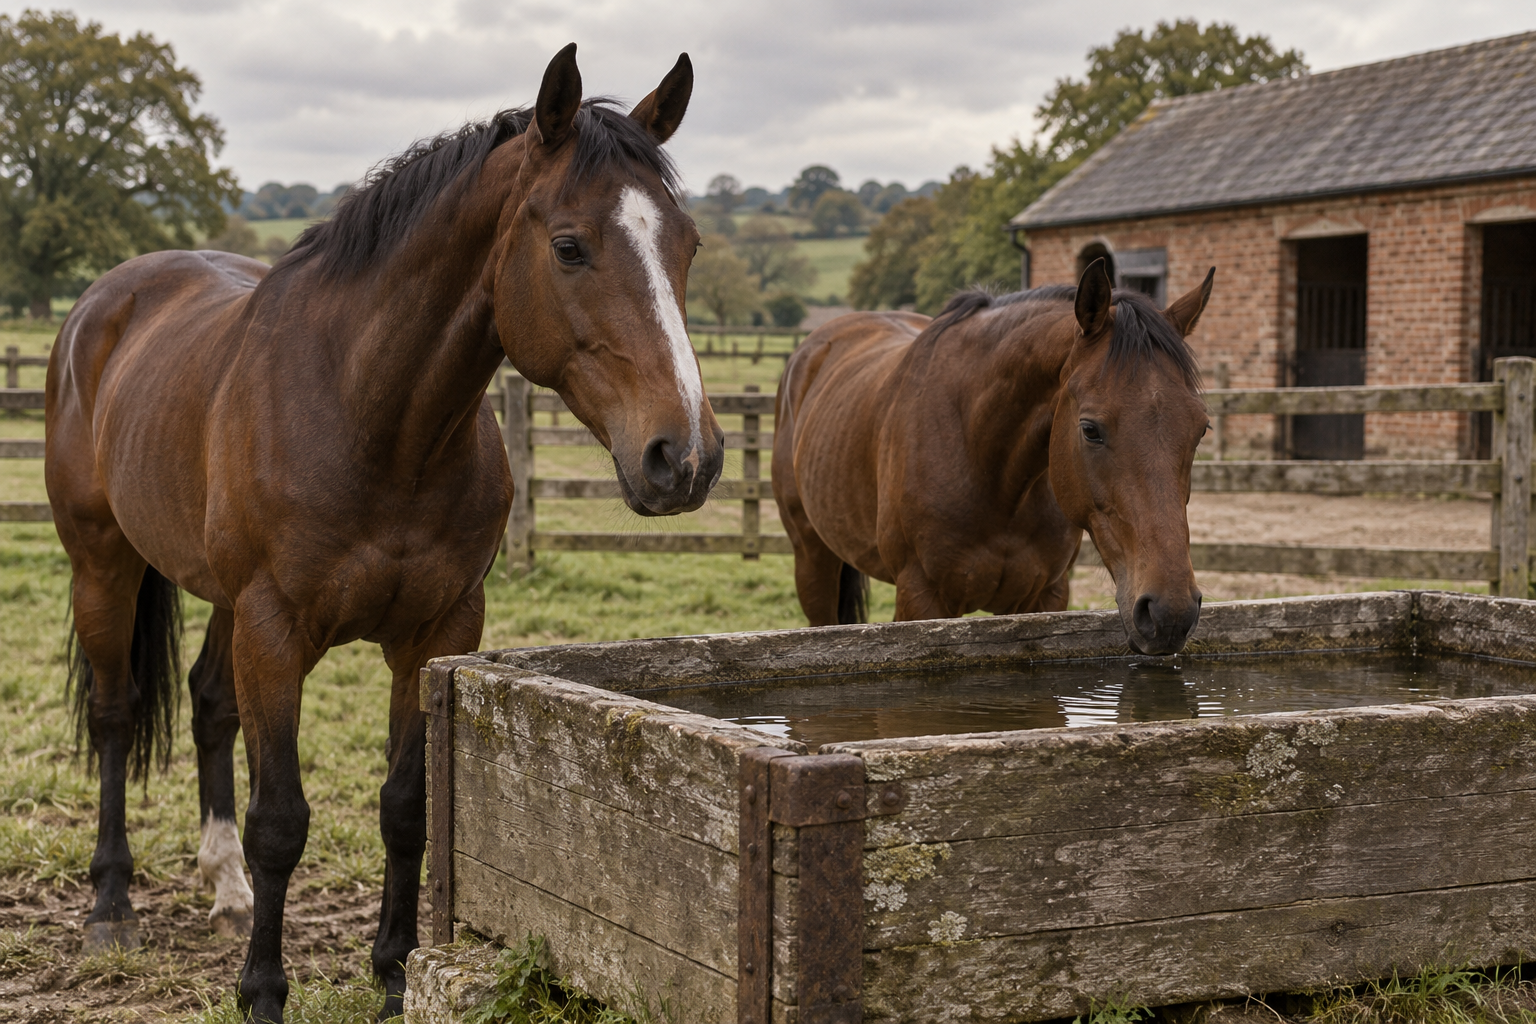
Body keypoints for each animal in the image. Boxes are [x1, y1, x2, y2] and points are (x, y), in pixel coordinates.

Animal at [45, 43, 721, 1022]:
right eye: (569, 246)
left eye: (688, 244)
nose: (686, 457)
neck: (373, 418)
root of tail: (108, 298)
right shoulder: (275, 632)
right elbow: (281, 819)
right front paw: (264, 990)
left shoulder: (436, 631)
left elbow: (406, 804)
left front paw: (398, 969)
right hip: (103, 562)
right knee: (114, 714)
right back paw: (110, 906)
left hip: (219, 597)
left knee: (209, 706)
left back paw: (226, 887)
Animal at [771, 259, 1212, 655]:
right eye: (1090, 429)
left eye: (1202, 428)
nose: (1170, 613)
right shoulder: (922, 599)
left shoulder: (1045, 598)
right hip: (812, 560)